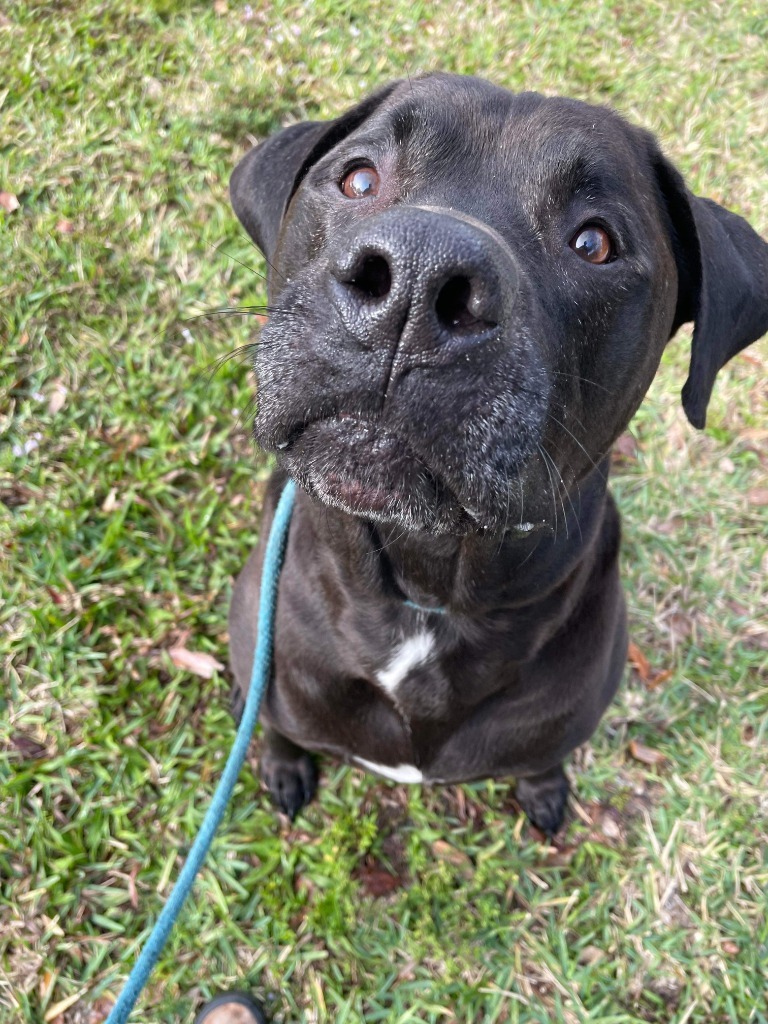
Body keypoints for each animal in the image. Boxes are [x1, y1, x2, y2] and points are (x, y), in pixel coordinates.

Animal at [225, 75, 765, 835]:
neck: (427, 598)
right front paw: (283, 765)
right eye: (359, 177)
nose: (417, 279)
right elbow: (276, 724)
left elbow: (542, 758)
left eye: (594, 242)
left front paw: (544, 790)